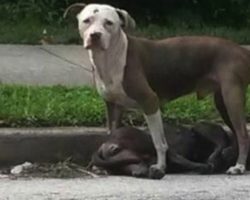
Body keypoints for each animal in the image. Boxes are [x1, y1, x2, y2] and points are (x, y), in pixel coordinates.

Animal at [64, 2, 250, 178]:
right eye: (87, 20)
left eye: (109, 22)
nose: (95, 35)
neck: (111, 58)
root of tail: (242, 50)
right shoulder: (113, 106)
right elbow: (112, 132)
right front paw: (102, 165)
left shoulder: (150, 102)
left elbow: (158, 142)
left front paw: (160, 166)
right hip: (222, 101)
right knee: (236, 132)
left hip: (232, 94)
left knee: (242, 133)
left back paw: (238, 166)